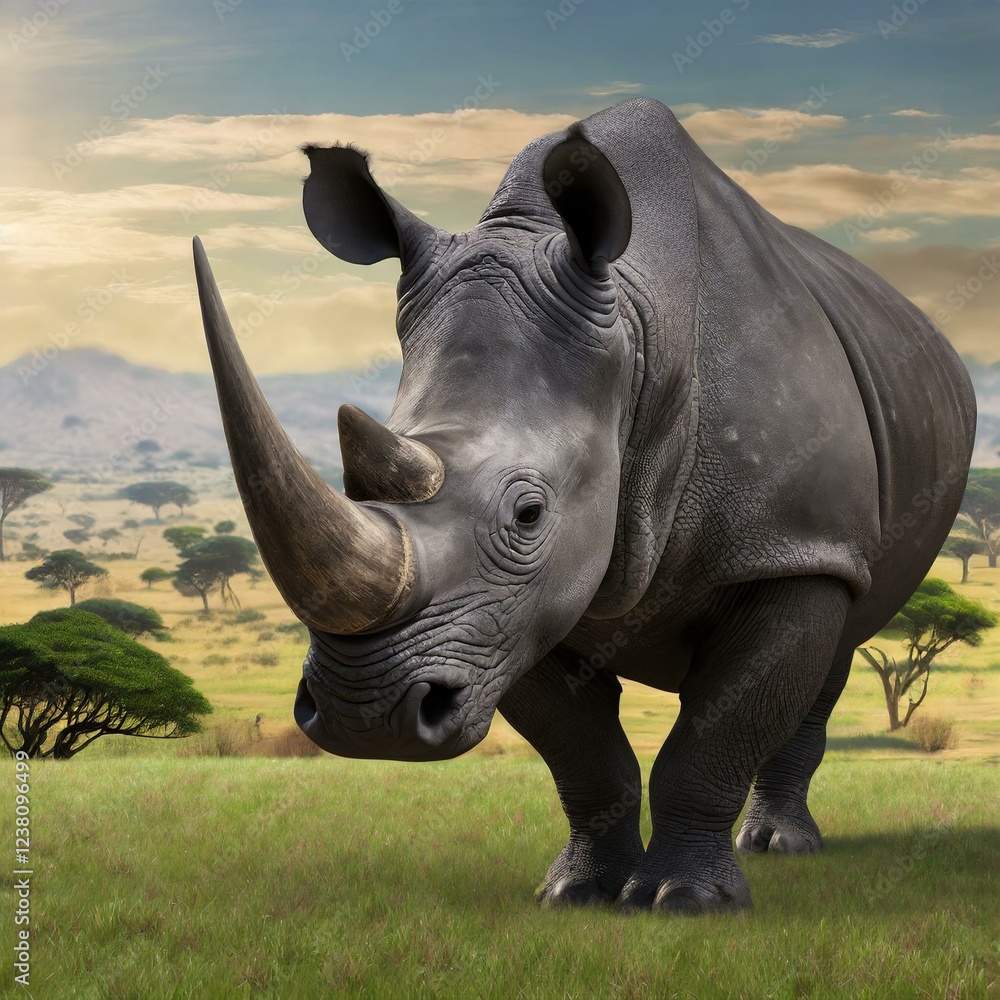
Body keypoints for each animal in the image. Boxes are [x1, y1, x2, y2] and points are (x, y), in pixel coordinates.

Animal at [193, 98, 975, 913]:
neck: (638, 334)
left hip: (837, 539)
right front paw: (579, 893)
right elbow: (582, 750)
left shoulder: (792, 545)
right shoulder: (511, 614)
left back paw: (778, 847)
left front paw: (684, 902)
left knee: (839, 644)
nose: (365, 717)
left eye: (529, 515)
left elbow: (717, 733)